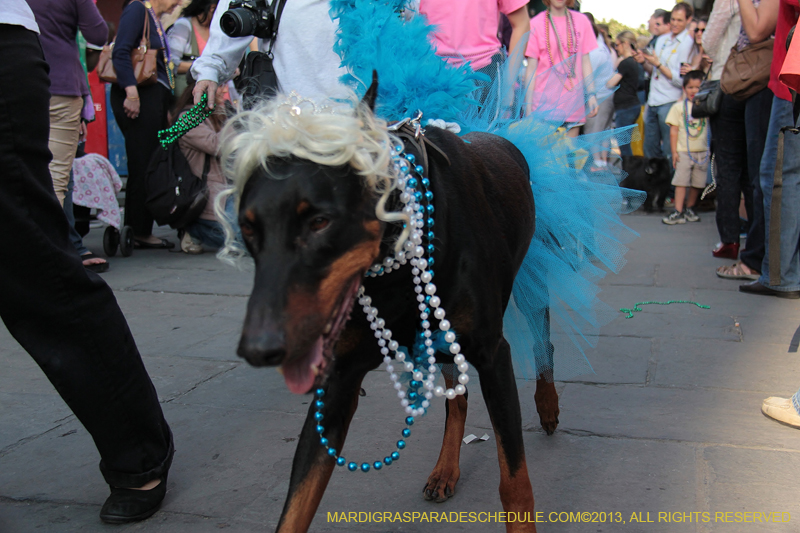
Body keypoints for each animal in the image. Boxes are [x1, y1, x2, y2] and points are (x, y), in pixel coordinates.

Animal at [231, 79, 556, 532]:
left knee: (543, 338)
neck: (393, 269)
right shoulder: (339, 379)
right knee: (456, 397)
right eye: (247, 228)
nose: (258, 349)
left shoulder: (493, 354)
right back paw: (445, 470)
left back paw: (548, 404)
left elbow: (514, 483)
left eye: (320, 222)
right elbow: (296, 504)